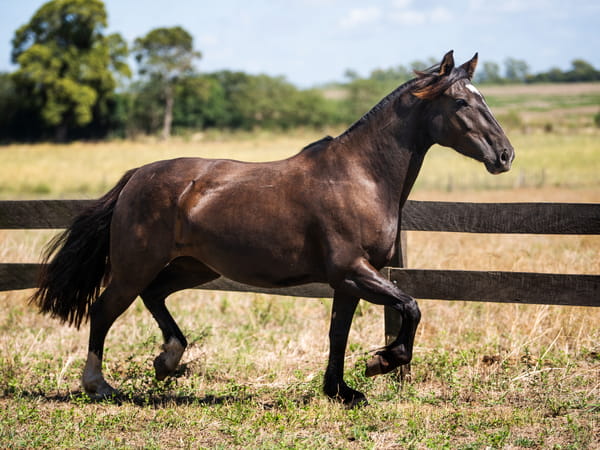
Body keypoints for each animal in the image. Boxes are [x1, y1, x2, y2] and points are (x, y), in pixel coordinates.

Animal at [31, 51, 514, 407]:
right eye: (462, 103)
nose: (505, 155)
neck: (361, 176)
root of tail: (136, 176)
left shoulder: (349, 280)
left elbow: (338, 333)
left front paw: (341, 390)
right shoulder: (354, 270)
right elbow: (411, 307)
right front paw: (382, 362)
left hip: (194, 266)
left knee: (154, 296)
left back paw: (168, 361)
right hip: (137, 265)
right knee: (103, 311)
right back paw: (99, 385)